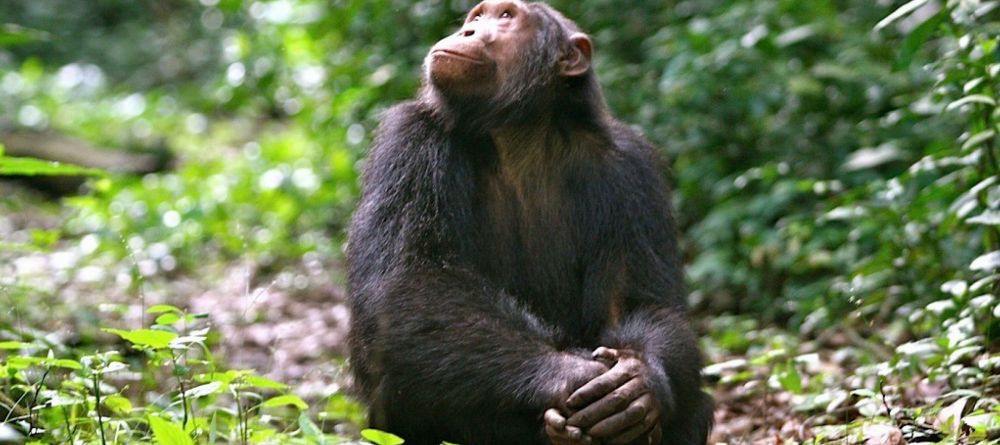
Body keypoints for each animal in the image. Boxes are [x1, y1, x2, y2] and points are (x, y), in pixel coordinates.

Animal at [348, 0, 716, 444]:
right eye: (477, 17)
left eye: (506, 17)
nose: (469, 32)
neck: (519, 132)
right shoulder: (408, 143)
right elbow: (411, 279)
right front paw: (568, 373)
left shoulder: (632, 168)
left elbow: (642, 303)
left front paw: (639, 381)